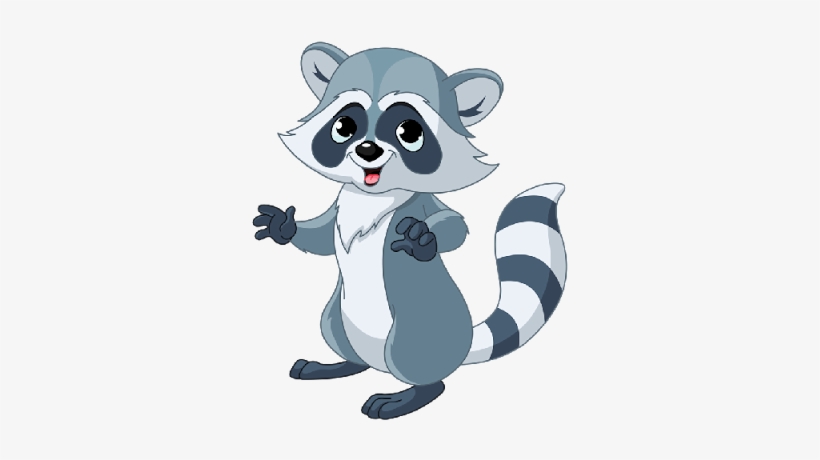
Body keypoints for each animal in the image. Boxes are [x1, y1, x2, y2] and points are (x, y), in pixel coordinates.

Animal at [253, 42, 567, 420]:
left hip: (415, 331)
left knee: (424, 371)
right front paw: (284, 226)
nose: (368, 150)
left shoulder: (422, 203)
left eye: (409, 132)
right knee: (343, 341)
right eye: (344, 126)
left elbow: (452, 224)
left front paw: (422, 242)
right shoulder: (339, 205)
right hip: (337, 319)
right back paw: (340, 365)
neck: (372, 195)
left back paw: (408, 395)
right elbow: (321, 238)